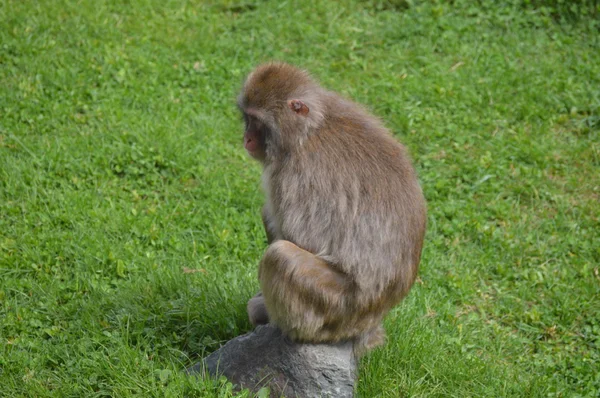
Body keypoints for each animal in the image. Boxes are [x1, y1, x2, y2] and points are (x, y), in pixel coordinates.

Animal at [239, 63, 426, 358]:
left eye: (256, 122)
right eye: (246, 118)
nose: (246, 139)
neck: (310, 129)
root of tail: (370, 323)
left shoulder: (293, 175)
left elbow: (301, 238)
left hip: (336, 308)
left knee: (280, 256)